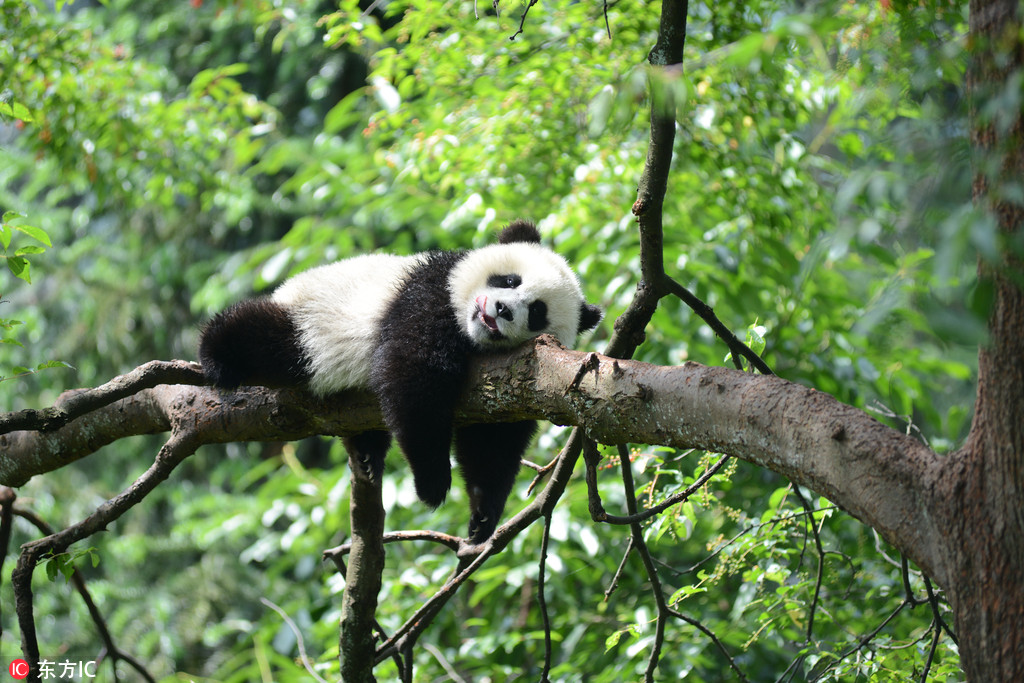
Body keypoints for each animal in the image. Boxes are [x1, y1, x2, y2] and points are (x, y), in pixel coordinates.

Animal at [198, 222, 598, 540]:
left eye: (537, 312)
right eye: (510, 280)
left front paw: (483, 514)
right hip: (309, 320)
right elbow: (413, 374)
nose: (501, 309)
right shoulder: (429, 294)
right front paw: (432, 483)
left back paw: (368, 453)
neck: (473, 339)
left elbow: (493, 441)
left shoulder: (515, 382)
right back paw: (218, 355)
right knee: (267, 336)